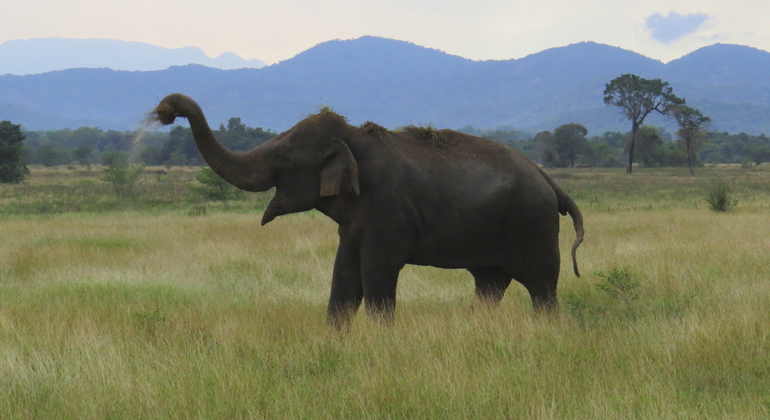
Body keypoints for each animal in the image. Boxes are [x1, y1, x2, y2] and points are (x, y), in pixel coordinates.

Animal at [150, 94, 584, 328]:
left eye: (281, 155)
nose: (166, 109)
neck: (354, 138)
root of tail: (550, 180)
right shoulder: (355, 223)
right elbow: (344, 277)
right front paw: (333, 342)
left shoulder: (386, 211)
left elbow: (377, 275)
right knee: (490, 284)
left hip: (534, 225)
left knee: (542, 287)